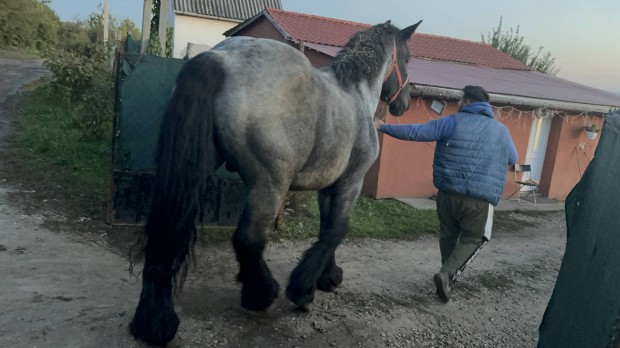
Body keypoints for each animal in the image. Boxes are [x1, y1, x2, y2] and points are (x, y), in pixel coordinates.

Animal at [128, 19, 424, 346]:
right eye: (408, 58)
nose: (404, 104)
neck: (355, 93)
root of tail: (222, 59)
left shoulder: (328, 189)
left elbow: (327, 229)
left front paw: (328, 276)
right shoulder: (351, 183)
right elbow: (336, 231)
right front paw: (304, 290)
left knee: (170, 232)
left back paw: (154, 320)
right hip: (269, 185)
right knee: (248, 240)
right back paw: (261, 293)